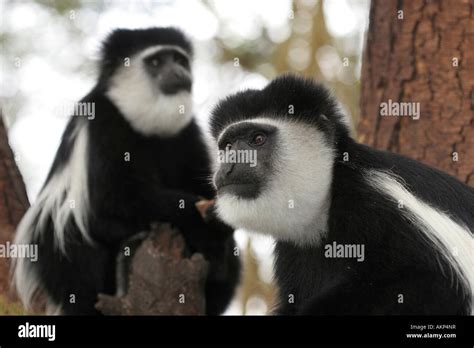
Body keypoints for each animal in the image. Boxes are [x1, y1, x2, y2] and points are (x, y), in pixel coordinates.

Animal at [13, 27, 241, 316]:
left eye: (180, 60)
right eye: (156, 62)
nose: (179, 72)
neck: (144, 122)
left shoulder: (186, 132)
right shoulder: (101, 124)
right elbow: (113, 202)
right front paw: (199, 216)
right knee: (69, 239)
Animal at [211, 74, 474, 316]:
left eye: (257, 139)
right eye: (228, 147)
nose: (229, 166)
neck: (326, 201)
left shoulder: (378, 205)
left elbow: (433, 285)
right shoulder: (293, 250)